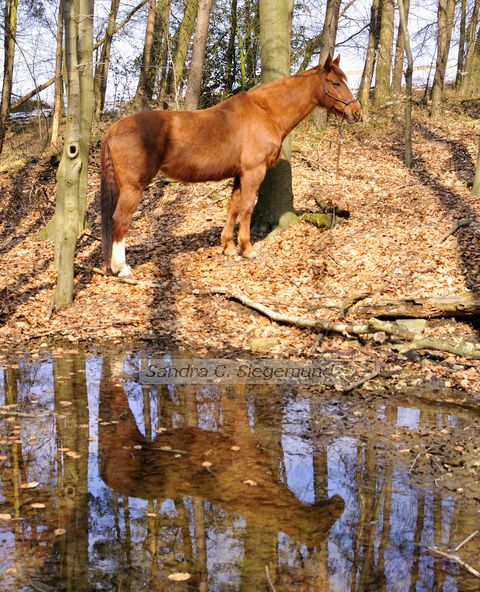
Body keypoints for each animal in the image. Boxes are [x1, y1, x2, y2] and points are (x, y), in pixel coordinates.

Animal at [102, 54, 364, 276]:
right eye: (335, 83)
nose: (356, 112)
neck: (266, 112)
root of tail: (114, 129)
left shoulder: (239, 175)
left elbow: (232, 207)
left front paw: (228, 246)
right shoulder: (253, 172)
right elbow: (247, 207)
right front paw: (247, 249)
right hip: (133, 187)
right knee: (120, 220)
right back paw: (121, 268)